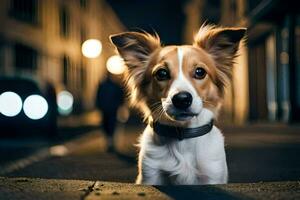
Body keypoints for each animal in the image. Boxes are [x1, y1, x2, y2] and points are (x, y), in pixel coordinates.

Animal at [110, 25, 246, 186]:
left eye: (200, 72)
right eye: (161, 73)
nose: (182, 99)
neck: (183, 138)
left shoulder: (212, 174)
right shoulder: (151, 173)